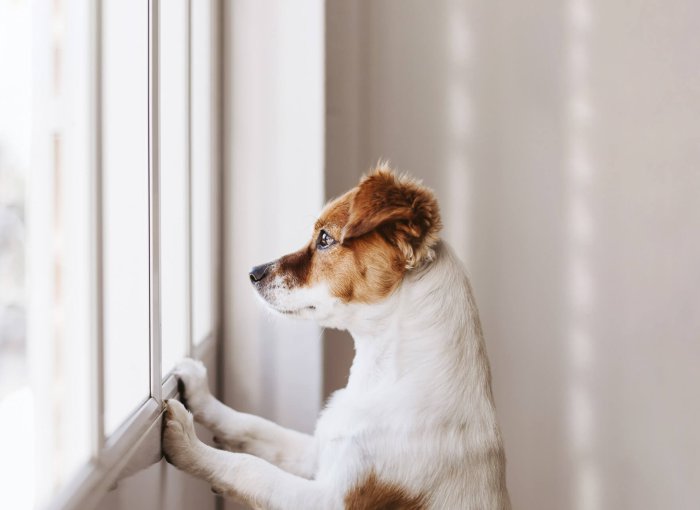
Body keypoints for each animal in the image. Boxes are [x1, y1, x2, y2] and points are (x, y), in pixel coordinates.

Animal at [164, 165, 516, 508]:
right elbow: (255, 426)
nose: (253, 273)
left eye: (324, 239)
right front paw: (200, 394)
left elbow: (251, 469)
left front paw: (187, 443)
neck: (383, 377)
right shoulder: (319, 452)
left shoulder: (331, 499)